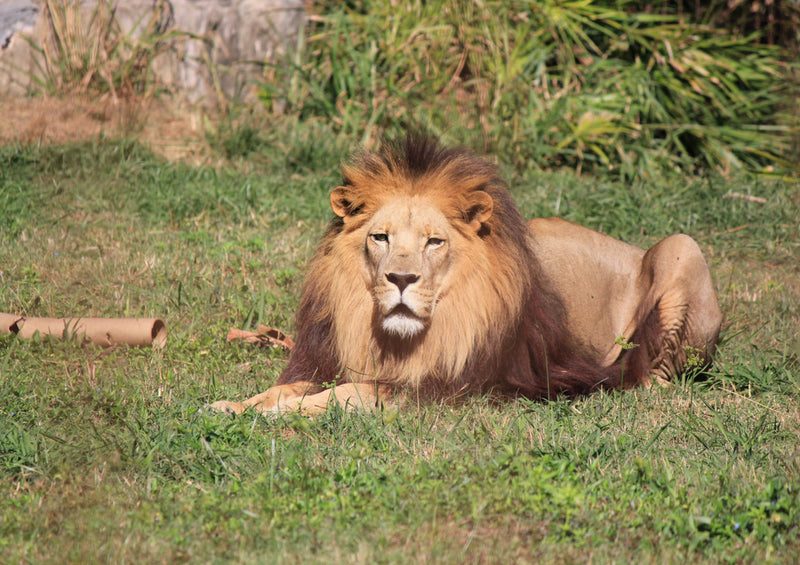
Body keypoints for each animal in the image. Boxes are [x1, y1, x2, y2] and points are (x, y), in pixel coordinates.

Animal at [209, 133, 720, 414]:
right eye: (381, 238)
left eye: (434, 242)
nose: (401, 280)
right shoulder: (329, 359)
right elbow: (284, 387)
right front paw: (234, 405)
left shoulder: (451, 388)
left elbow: (352, 393)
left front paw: (285, 413)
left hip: (683, 248)